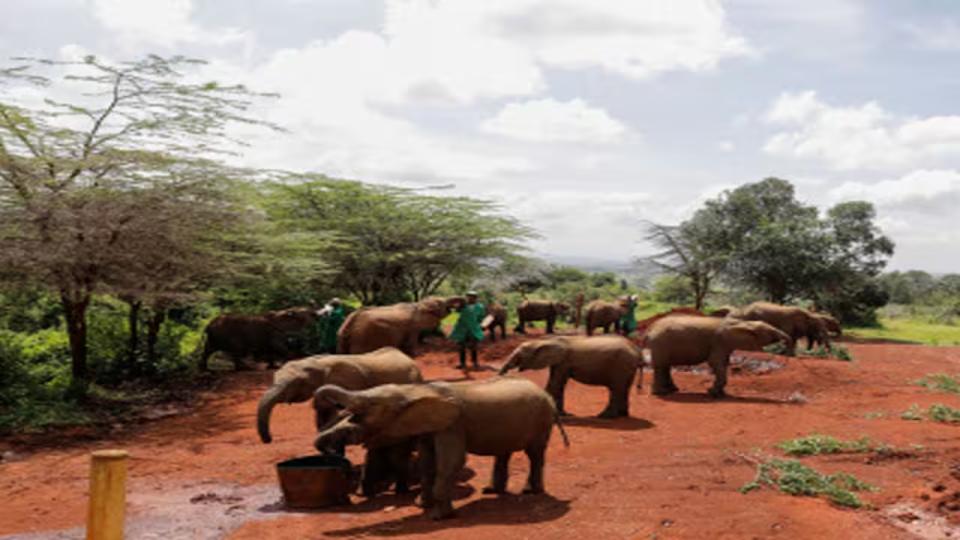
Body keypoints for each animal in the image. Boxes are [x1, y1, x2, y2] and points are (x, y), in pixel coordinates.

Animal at [313, 377, 568, 519]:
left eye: (373, 405)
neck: (416, 391)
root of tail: (547, 396)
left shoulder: (452, 424)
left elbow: (451, 462)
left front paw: (439, 517)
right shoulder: (429, 427)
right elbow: (428, 463)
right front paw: (421, 505)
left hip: (542, 421)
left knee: (535, 454)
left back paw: (531, 492)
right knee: (503, 453)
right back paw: (492, 491)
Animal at [499, 335, 643, 418]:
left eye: (519, 356)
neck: (543, 341)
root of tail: (637, 351)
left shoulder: (563, 362)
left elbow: (555, 384)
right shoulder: (558, 363)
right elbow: (558, 384)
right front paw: (564, 415)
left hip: (621, 365)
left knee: (616, 388)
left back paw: (603, 417)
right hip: (627, 367)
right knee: (624, 388)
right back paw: (622, 415)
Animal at [644, 315, 791, 398]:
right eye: (771, 333)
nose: (785, 343)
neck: (742, 323)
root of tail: (650, 329)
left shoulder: (725, 345)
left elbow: (723, 363)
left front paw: (720, 393)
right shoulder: (719, 342)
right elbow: (715, 362)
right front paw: (713, 393)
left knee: (665, 366)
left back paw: (672, 390)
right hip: (660, 343)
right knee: (661, 366)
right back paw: (661, 393)